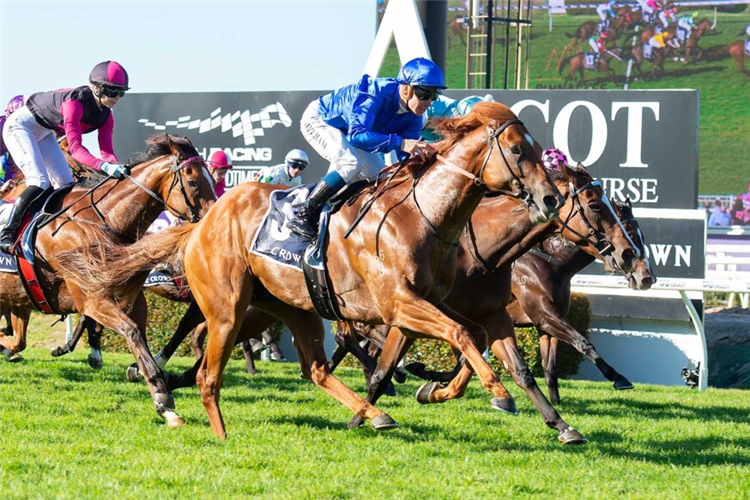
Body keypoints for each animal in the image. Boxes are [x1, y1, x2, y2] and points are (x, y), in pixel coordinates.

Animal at [0, 135, 217, 428]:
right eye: (193, 181)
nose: (215, 219)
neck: (102, 220)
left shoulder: (131, 299)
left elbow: (140, 338)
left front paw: (159, 396)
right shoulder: (91, 298)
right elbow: (131, 332)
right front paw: (162, 397)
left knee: (18, 339)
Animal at [64, 101, 568, 438]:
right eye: (518, 149)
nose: (550, 199)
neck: (423, 215)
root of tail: (203, 220)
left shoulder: (431, 301)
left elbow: (474, 335)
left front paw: (442, 390)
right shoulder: (398, 303)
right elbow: (460, 334)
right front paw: (496, 392)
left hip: (293, 307)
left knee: (315, 370)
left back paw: (376, 415)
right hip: (227, 308)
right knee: (210, 373)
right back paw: (212, 428)